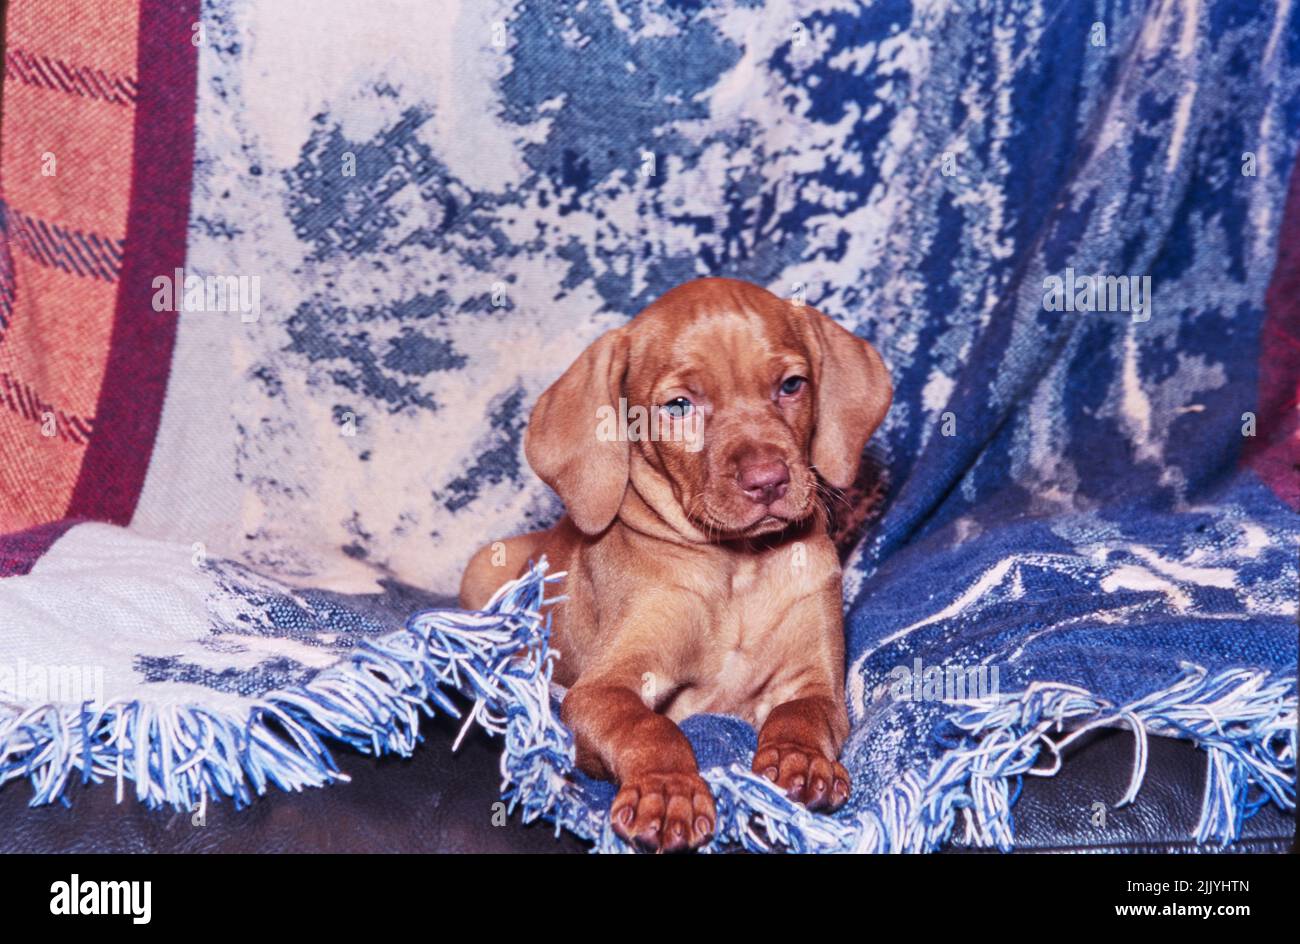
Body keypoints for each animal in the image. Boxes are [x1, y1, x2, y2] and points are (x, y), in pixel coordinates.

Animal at [460, 279, 894, 852]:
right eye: (680, 405)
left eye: (792, 385)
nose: (768, 481)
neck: (738, 567)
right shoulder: (603, 689)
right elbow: (649, 728)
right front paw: (668, 790)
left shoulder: (814, 682)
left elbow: (799, 714)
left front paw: (801, 760)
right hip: (483, 567)